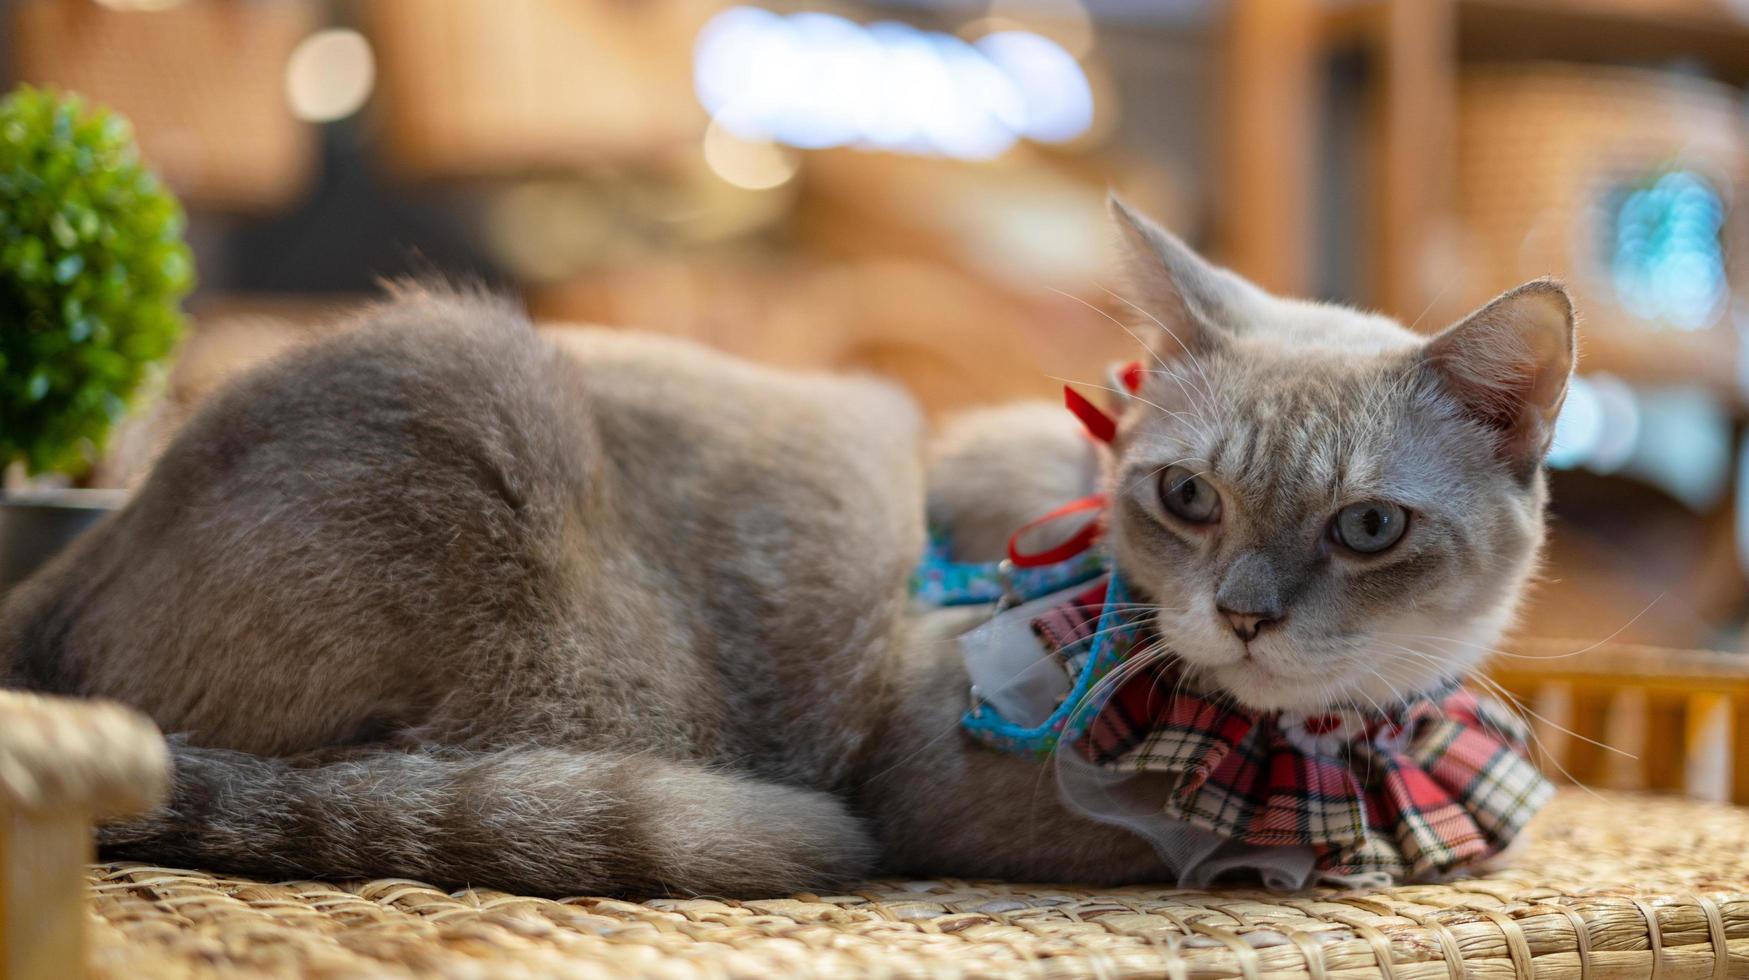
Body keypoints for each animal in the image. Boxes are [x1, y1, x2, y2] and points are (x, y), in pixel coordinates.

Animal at [0, 199, 1581, 896]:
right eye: (1186, 498)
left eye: (1367, 525)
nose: (1245, 614)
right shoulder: (948, 769)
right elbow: (1246, 850)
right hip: (471, 384)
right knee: (360, 785)